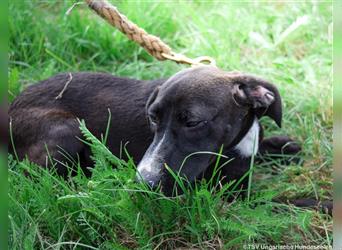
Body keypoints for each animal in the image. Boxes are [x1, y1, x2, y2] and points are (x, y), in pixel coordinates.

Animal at [8, 65, 332, 213]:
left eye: (193, 122)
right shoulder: (233, 199)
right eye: (152, 118)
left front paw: (281, 145)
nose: (143, 183)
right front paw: (326, 203)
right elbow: (290, 201)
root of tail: (9, 108)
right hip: (68, 129)